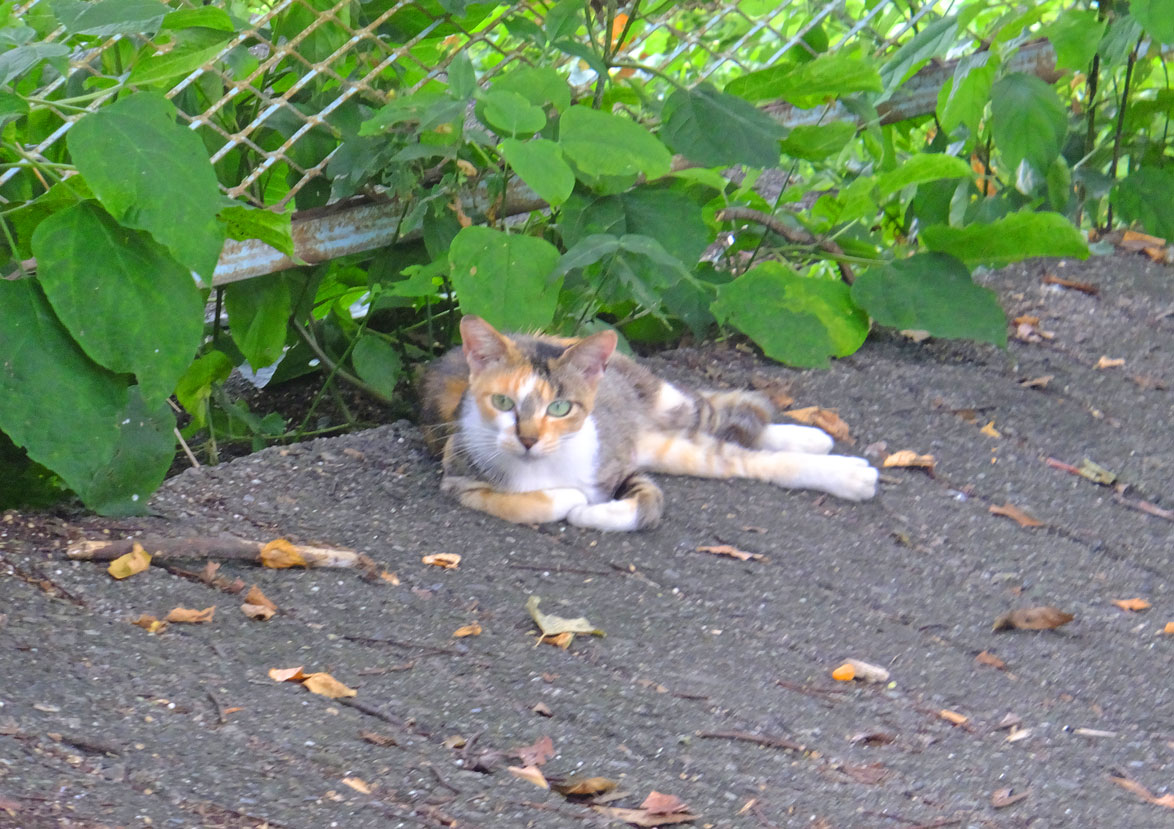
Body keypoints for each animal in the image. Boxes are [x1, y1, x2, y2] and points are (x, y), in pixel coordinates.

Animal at [417, 317, 878, 530]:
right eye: (503, 402)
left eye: (560, 408)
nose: (528, 439)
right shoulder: (459, 475)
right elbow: (531, 501)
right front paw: (573, 501)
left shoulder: (617, 466)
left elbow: (649, 503)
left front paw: (590, 512)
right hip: (665, 446)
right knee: (736, 454)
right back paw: (834, 460)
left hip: (666, 404)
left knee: (718, 426)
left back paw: (824, 449)